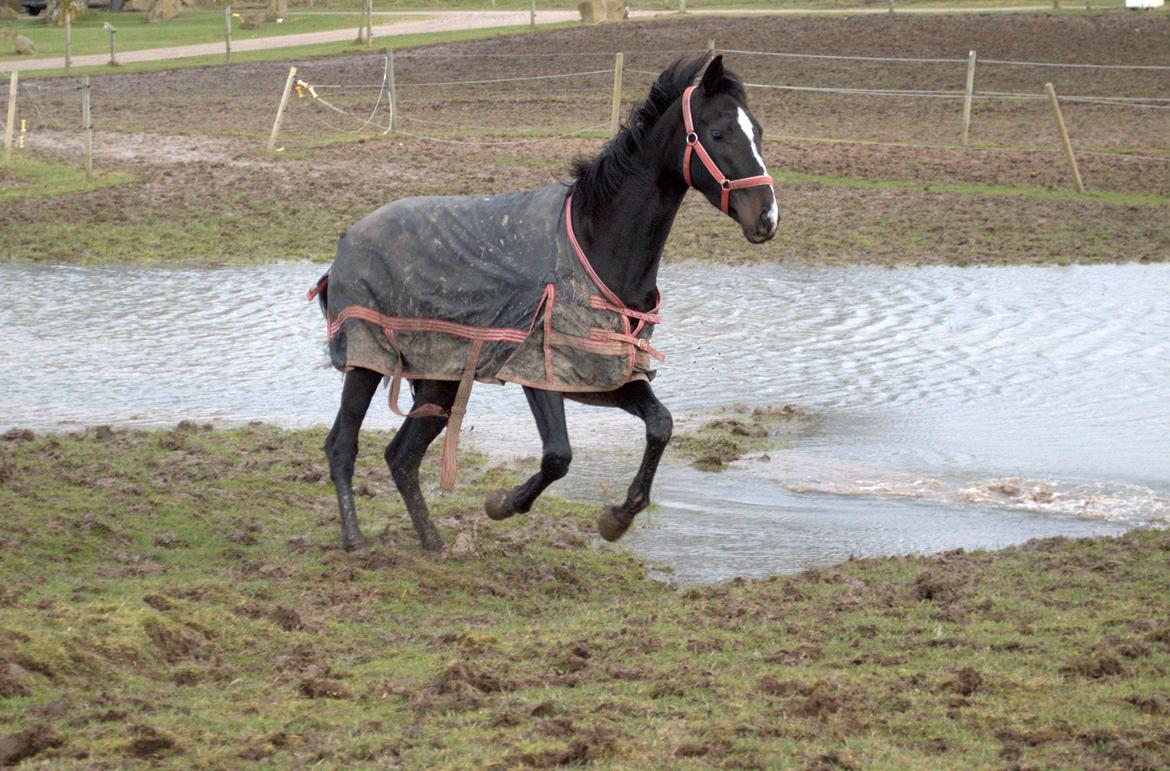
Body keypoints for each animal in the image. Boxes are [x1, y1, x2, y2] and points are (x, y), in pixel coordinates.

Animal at [318, 55, 776, 554]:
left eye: (758, 131)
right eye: (717, 133)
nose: (766, 218)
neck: (596, 244)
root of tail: (346, 241)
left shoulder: (606, 374)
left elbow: (661, 424)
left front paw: (618, 518)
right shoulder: (540, 371)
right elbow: (558, 455)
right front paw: (503, 504)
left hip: (439, 377)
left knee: (401, 456)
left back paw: (434, 542)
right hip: (367, 362)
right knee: (342, 444)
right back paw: (355, 540)